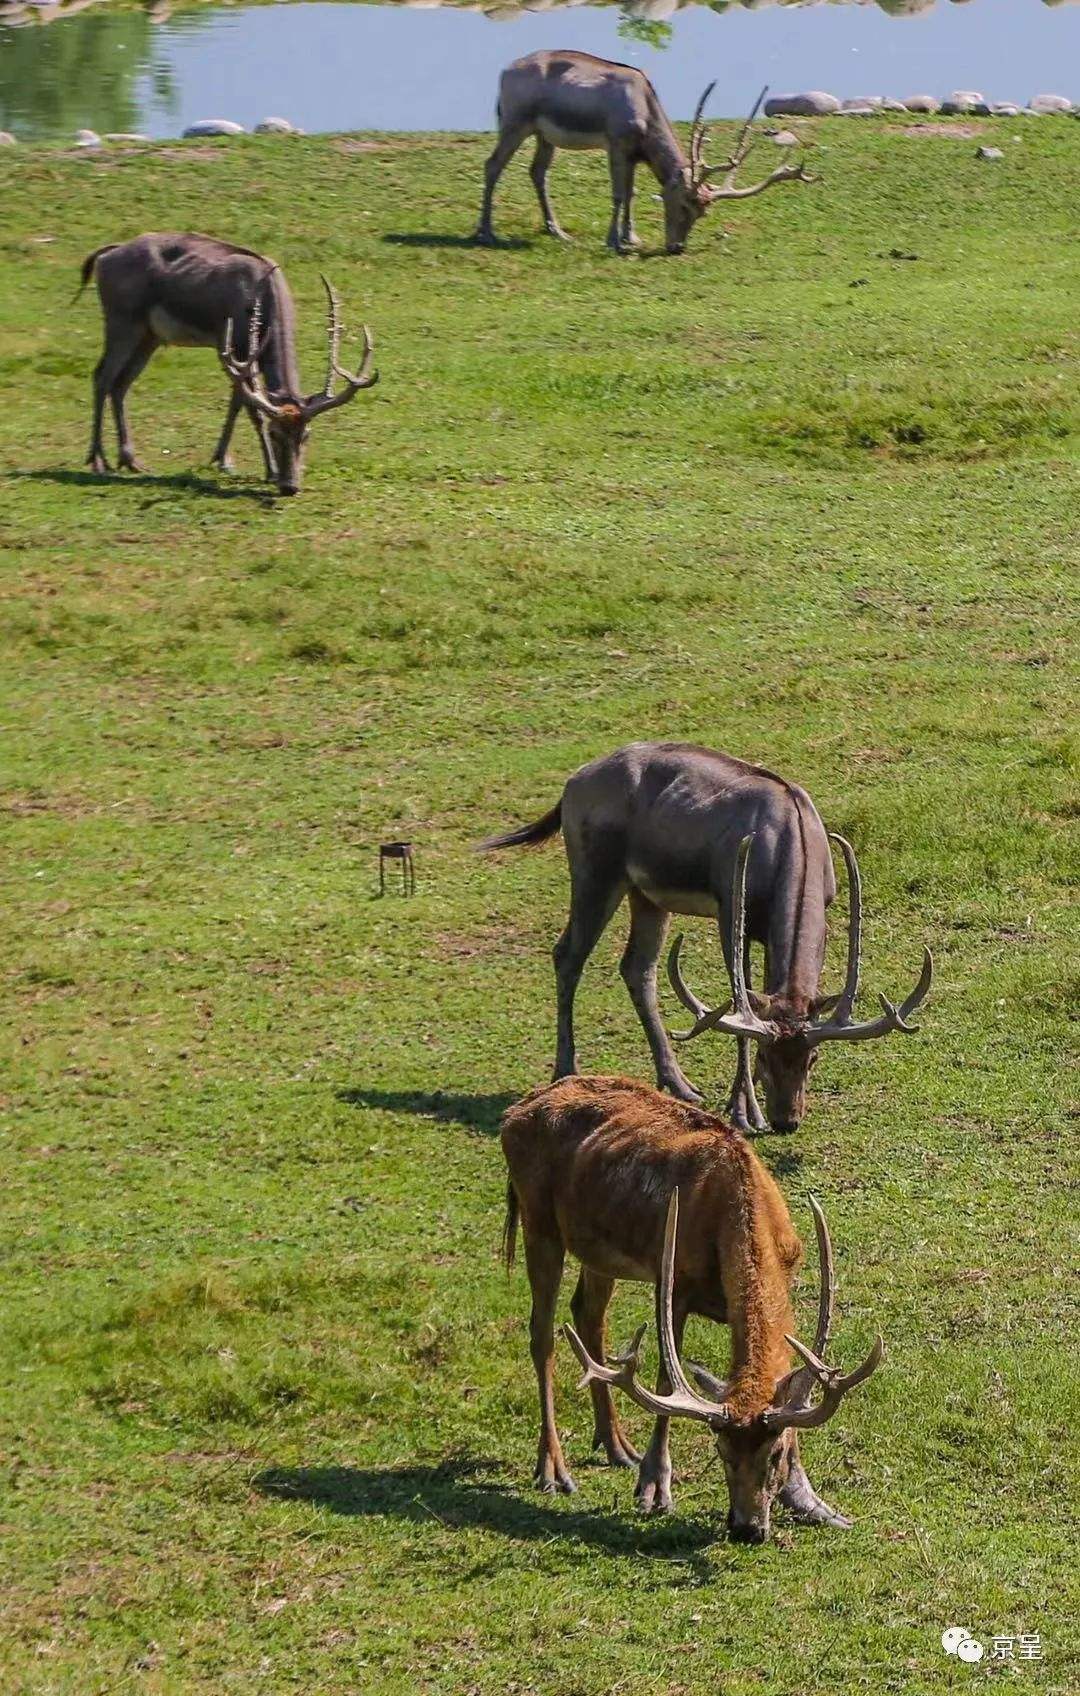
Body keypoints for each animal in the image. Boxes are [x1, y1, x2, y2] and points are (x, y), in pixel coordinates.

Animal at [75, 228, 379, 491]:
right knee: (102, 375)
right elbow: (253, 408)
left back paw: (130, 460)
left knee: (121, 384)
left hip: (149, 335)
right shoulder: (232, 348)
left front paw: (223, 459)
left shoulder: (241, 356)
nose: (290, 486)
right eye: (275, 434)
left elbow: (237, 402)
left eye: (306, 435)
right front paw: (269, 470)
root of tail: (106, 255)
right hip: (122, 319)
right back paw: (98, 460)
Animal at [471, 55, 807, 254]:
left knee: (538, 172)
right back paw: (486, 233)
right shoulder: (617, 143)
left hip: (545, 136)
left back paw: (557, 231)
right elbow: (619, 193)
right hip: (515, 122)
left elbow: (631, 194)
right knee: (492, 165)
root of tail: (504, 71)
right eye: (684, 205)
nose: (676, 246)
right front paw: (613, 241)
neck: (644, 108)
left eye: (702, 212)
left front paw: (630, 237)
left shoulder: (634, 154)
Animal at [478, 746, 929, 1132]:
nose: (786, 1120)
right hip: (594, 871)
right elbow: (739, 1000)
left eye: (812, 1058)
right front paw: (745, 1111)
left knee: (637, 967)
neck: (792, 845)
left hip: (646, 894)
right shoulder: (731, 908)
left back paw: (678, 1083)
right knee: (568, 954)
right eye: (765, 1056)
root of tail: (572, 782)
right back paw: (566, 1071)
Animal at [501, 1078, 881, 1546]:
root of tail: (513, 1113)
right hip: (538, 1221)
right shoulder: (675, 1282)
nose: (746, 1528)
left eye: (775, 1454)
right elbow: (666, 1378)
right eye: (720, 1450)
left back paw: (616, 1446)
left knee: (588, 1317)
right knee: (542, 1334)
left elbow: (792, 1381)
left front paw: (814, 1503)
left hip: (596, 1249)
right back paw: (554, 1469)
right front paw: (654, 1488)